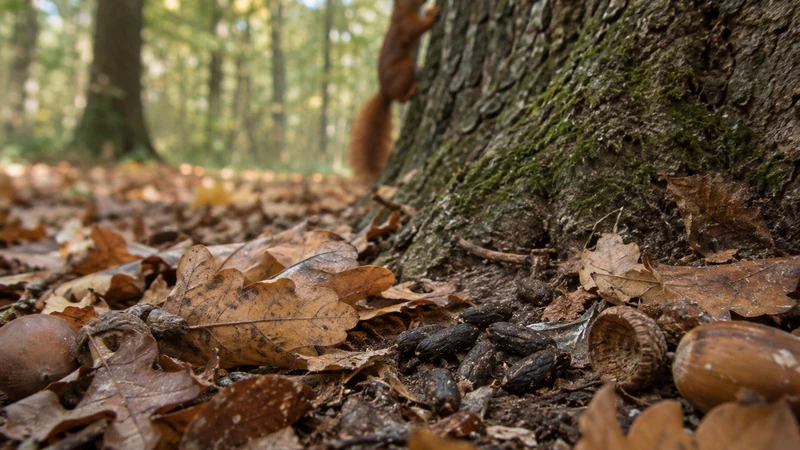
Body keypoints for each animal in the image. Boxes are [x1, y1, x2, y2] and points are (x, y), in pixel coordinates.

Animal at [348, 0, 439, 184]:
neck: (403, 9)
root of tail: (385, 92)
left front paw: (430, 9)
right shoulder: (403, 24)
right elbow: (415, 29)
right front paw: (433, 15)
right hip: (404, 69)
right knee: (401, 97)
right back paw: (410, 91)